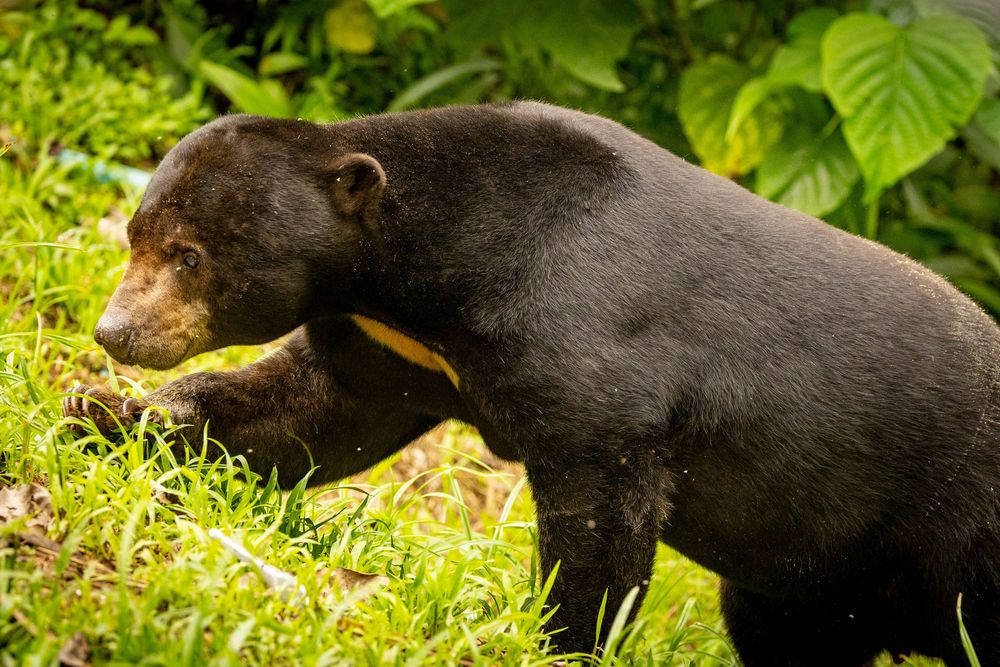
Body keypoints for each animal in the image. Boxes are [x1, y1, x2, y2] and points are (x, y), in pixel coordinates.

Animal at [62, 102, 1000, 666]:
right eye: (136, 238)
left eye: (190, 257)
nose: (115, 331)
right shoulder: (392, 350)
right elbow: (300, 412)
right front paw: (100, 411)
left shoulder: (596, 357)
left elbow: (600, 518)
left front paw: (559, 640)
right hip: (815, 578)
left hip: (960, 528)